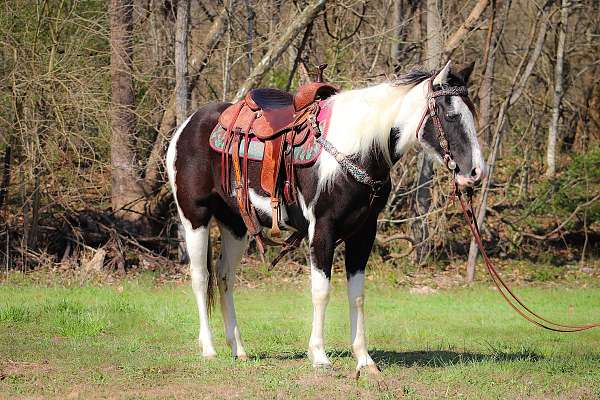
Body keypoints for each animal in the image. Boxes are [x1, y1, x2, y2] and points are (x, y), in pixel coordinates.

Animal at [166, 61, 486, 374]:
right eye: (451, 115)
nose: (475, 173)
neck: (356, 149)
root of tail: (187, 126)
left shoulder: (363, 232)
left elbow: (357, 295)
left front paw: (364, 359)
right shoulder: (322, 229)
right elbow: (321, 291)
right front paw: (319, 355)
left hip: (236, 225)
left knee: (224, 276)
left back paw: (239, 349)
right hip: (195, 217)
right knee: (200, 277)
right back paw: (209, 348)